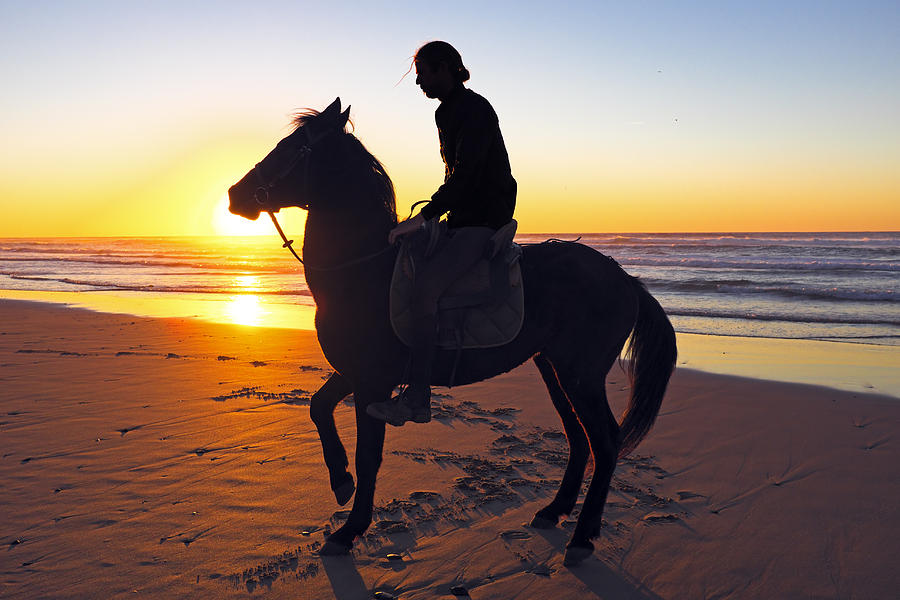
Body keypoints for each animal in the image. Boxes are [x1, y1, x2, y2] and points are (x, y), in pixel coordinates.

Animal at [229, 98, 680, 568]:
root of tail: (624, 278)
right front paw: (340, 480)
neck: (364, 270)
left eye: (293, 147)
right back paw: (554, 511)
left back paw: (583, 536)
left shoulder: (373, 382)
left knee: (604, 442)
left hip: (581, 375)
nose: (234, 195)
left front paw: (349, 531)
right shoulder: (358, 374)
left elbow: (368, 456)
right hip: (554, 369)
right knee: (579, 438)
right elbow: (319, 408)